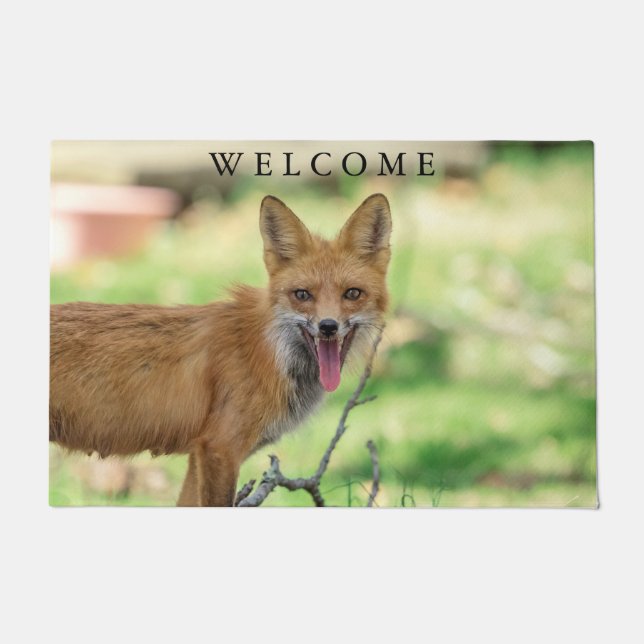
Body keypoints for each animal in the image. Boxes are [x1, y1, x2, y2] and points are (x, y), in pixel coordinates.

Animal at [50, 193, 392, 506]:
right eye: (302, 295)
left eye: (352, 294)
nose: (328, 327)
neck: (267, 351)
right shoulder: (220, 448)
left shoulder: (198, 453)